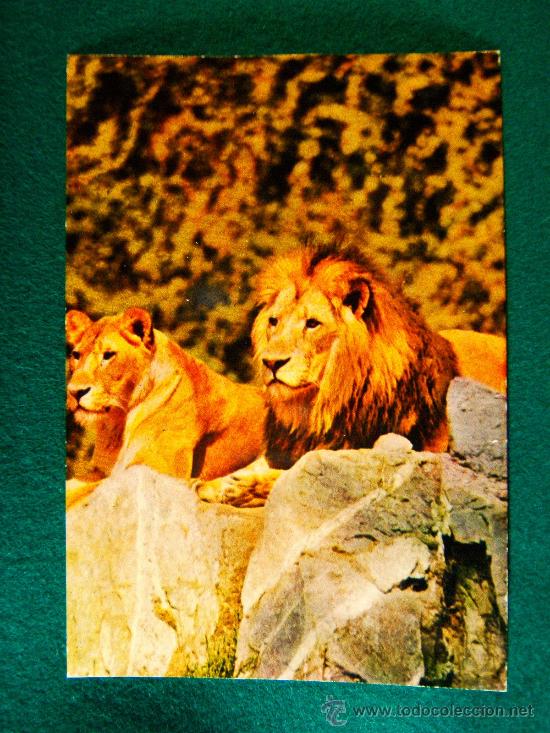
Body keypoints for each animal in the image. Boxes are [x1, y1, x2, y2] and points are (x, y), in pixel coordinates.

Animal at [66, 307, 267, 508]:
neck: (119, 421)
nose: (75, 392)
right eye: (76, 355)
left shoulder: (155, 471)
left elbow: (92, 490)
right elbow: (74, 485)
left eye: (108, 355)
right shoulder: (100, 470)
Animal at [198, 245, 506, 507]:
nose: (272, 362)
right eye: (274, 321)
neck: (316, 408)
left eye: (312, 324)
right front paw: (212, 484)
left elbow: (293, 474)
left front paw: (243, 489)